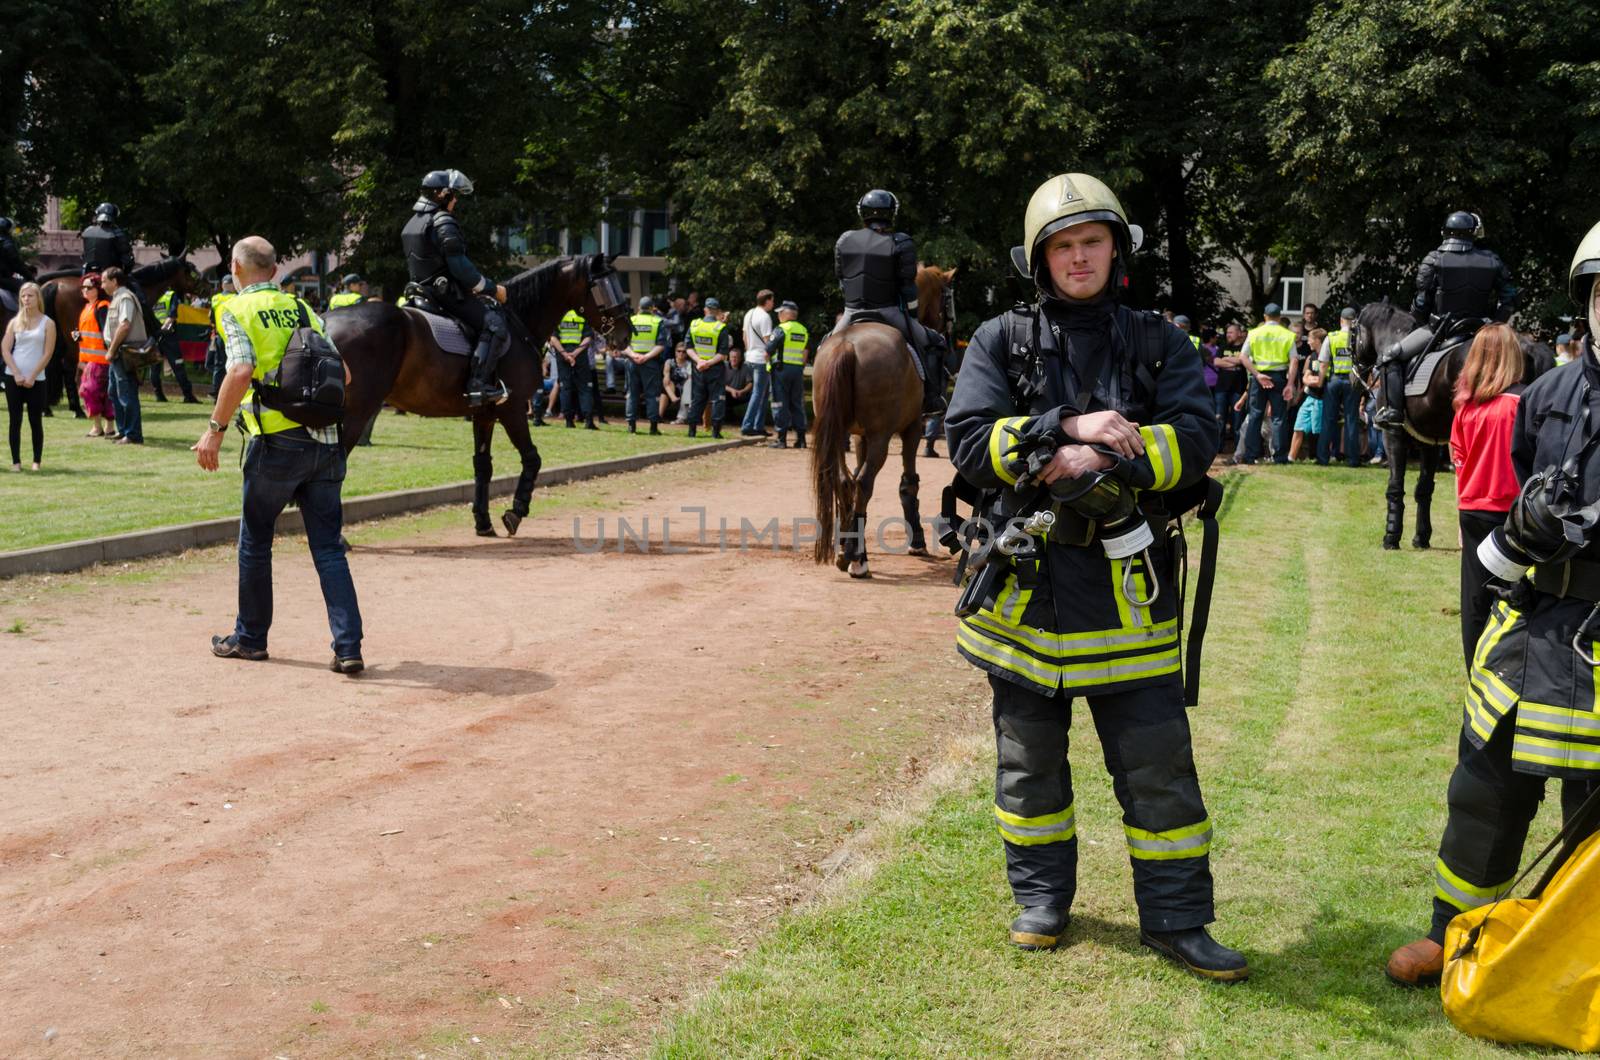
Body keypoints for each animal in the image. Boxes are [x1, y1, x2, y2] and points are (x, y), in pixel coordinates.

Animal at [326, 252, 630, 541]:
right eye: (605, 286)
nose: (626, 335)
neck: (519, 323)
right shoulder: (513, 409)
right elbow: (532, 458)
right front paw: (515, 511)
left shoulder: (484, 414)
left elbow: (483, 465)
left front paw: (483, 522)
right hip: (355, 413)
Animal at [806, 265, 953, 582]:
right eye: (948, 299)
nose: (948, 331)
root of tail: (847, 345)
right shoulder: (911, 428)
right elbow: (909, 483)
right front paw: (917, 541)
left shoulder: (858, 436)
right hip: (882, 437)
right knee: (863, 483)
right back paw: (857, 560)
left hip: (840, 435)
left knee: (845, 481)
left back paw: (845, 551)